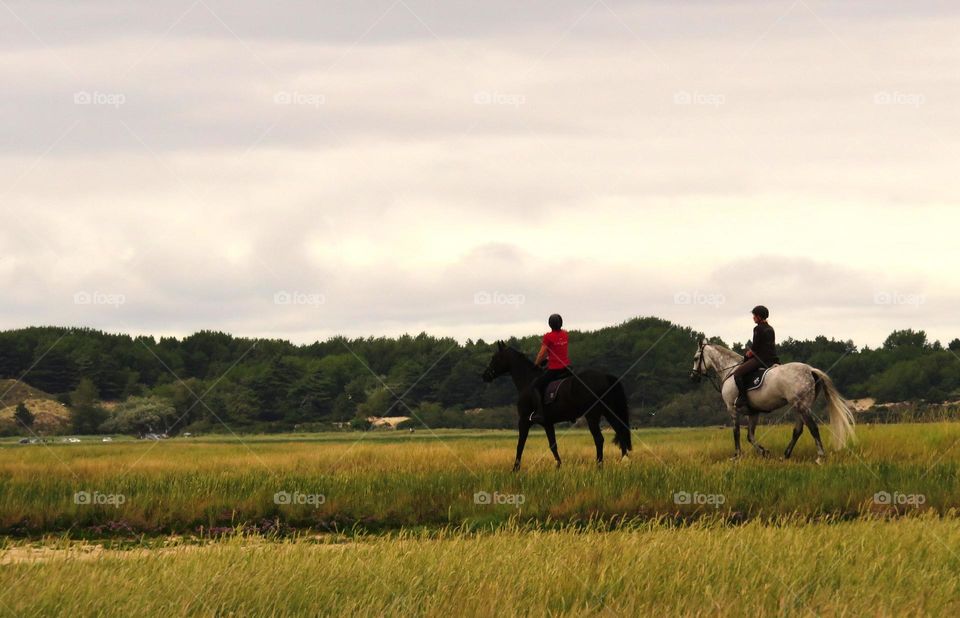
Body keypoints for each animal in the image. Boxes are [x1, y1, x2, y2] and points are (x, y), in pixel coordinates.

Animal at [480, 340, 632, 470]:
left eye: (494, 357)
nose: (485, 376)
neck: (527, 381)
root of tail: (605, 376)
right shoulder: (548, 423)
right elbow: (553, 445)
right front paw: (559, 465)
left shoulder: (523, 421)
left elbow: (520, 445)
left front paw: (515, 469)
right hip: (609, 412)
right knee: (620, 432)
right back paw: (624, 461)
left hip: (592, 416)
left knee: (599, 439)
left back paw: (599, 465)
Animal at [688, 340, 856, 460]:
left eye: (696, 358)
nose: (693, 377)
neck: (731, 370)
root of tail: (810, 369)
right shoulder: (753, 413)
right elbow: (750, 436)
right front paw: (764, 452)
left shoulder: (732, 409)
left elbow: (736, 432)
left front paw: (737, 455)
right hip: (799, 407)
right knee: (798, 430)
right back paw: (786, 455)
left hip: (801, 406)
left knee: (813, 428)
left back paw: (820, 457)